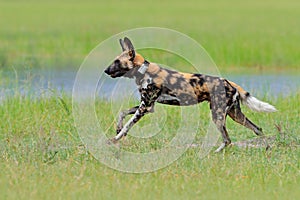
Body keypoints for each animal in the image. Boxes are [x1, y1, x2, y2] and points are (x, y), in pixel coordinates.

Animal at [103, 37, 276, 152]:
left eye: (117, 62)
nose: (105, 70)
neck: (143, 71)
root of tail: (229, 82)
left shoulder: (145, 108)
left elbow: (128, 124)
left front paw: (115, 139)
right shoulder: (147, 106)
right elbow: (122, 113)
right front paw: (117, 129)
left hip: (218, 116)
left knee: (228, 139)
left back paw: (213, 154)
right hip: (235, 115)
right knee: (257, 129)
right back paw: (267, 148)